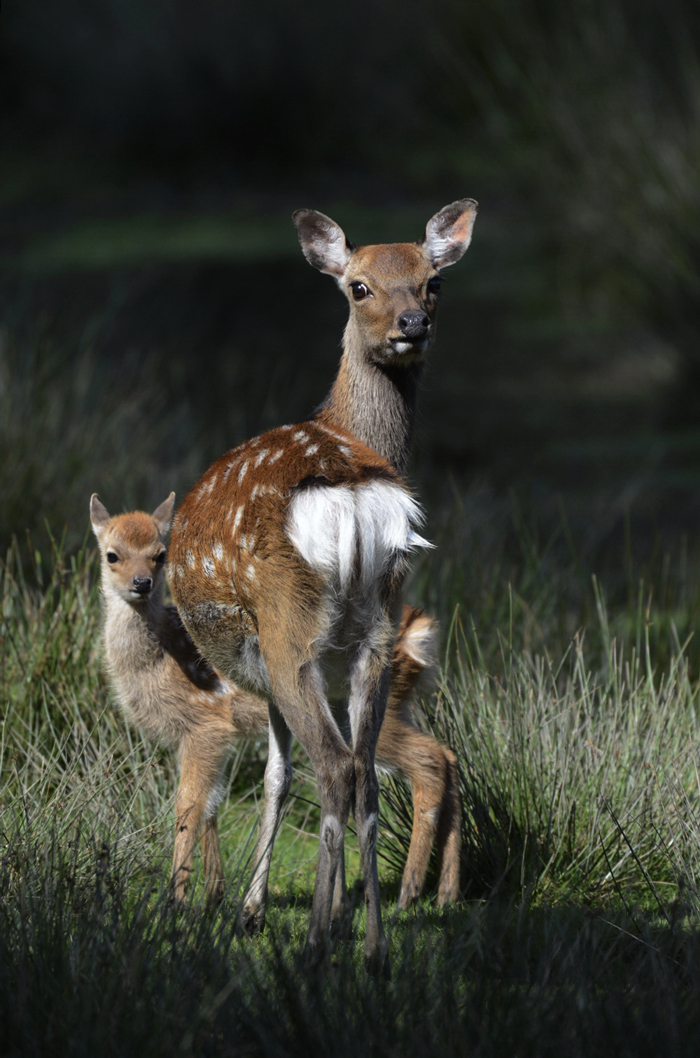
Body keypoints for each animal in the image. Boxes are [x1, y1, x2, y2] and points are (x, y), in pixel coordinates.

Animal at [169, 198, 477, 969]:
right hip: (373, 629)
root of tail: (354, 495)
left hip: (289, 626)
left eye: (434, 281)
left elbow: (277, 777)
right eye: (359, 286)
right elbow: (291, 774)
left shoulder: (259, 662)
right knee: (364, 774)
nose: (413, 323)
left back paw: (312, 943)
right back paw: (370, 944)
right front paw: (332, 913)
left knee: (336, 767)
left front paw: (252, 911)